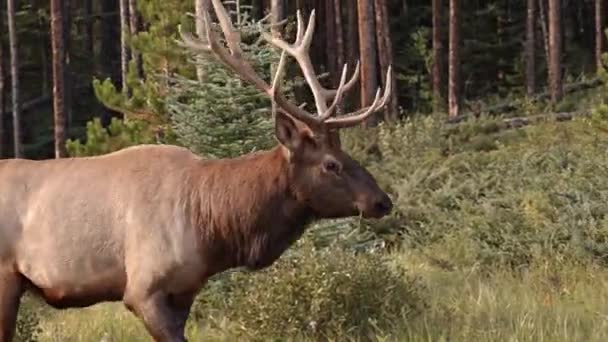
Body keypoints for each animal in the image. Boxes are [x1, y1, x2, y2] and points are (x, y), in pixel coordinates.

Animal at [0, 1, 394, 340]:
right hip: (6, 276)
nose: (382, 201)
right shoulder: (142, 288)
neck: (211, 225)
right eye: (331, 164)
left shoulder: (186, 289)